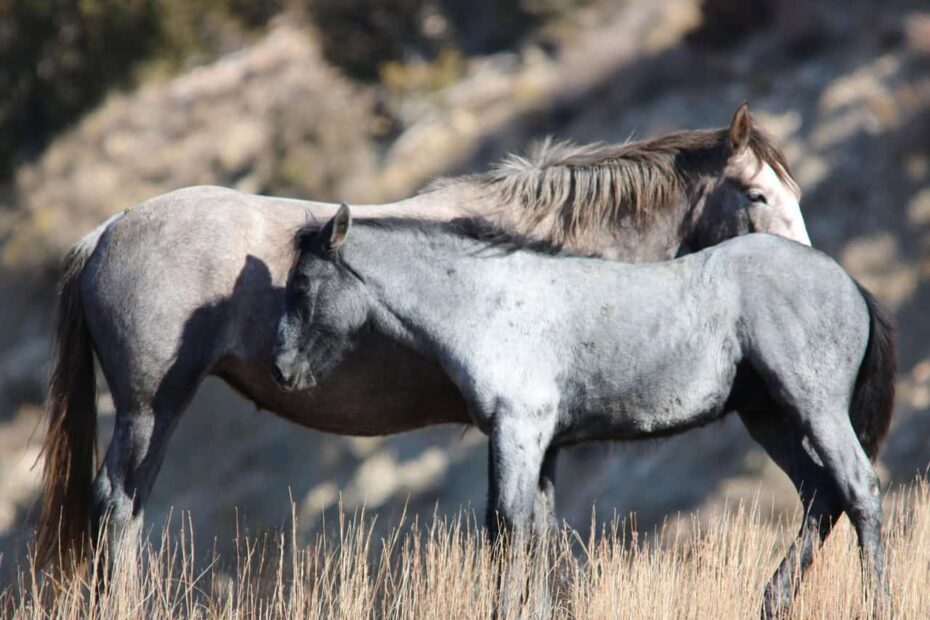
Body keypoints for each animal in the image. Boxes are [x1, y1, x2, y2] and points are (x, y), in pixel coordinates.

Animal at [36, 104, 809, 579]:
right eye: (759, 196)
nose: (808, 275)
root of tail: (107, 230)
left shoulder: (542, 438)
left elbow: (538, 535)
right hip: (149, 409)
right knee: (119, 510)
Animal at [274, 206, 895, 616]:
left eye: (303, 283)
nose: (282, 369)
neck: (487, 302)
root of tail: (849, 283)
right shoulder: (542, 443)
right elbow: (538, 529)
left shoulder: (518, 429)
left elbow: (507, 526)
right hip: (768, 417)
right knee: (820, 496)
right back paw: (772, 600)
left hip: (813, 406)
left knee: (857, 487)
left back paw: (876, 603)